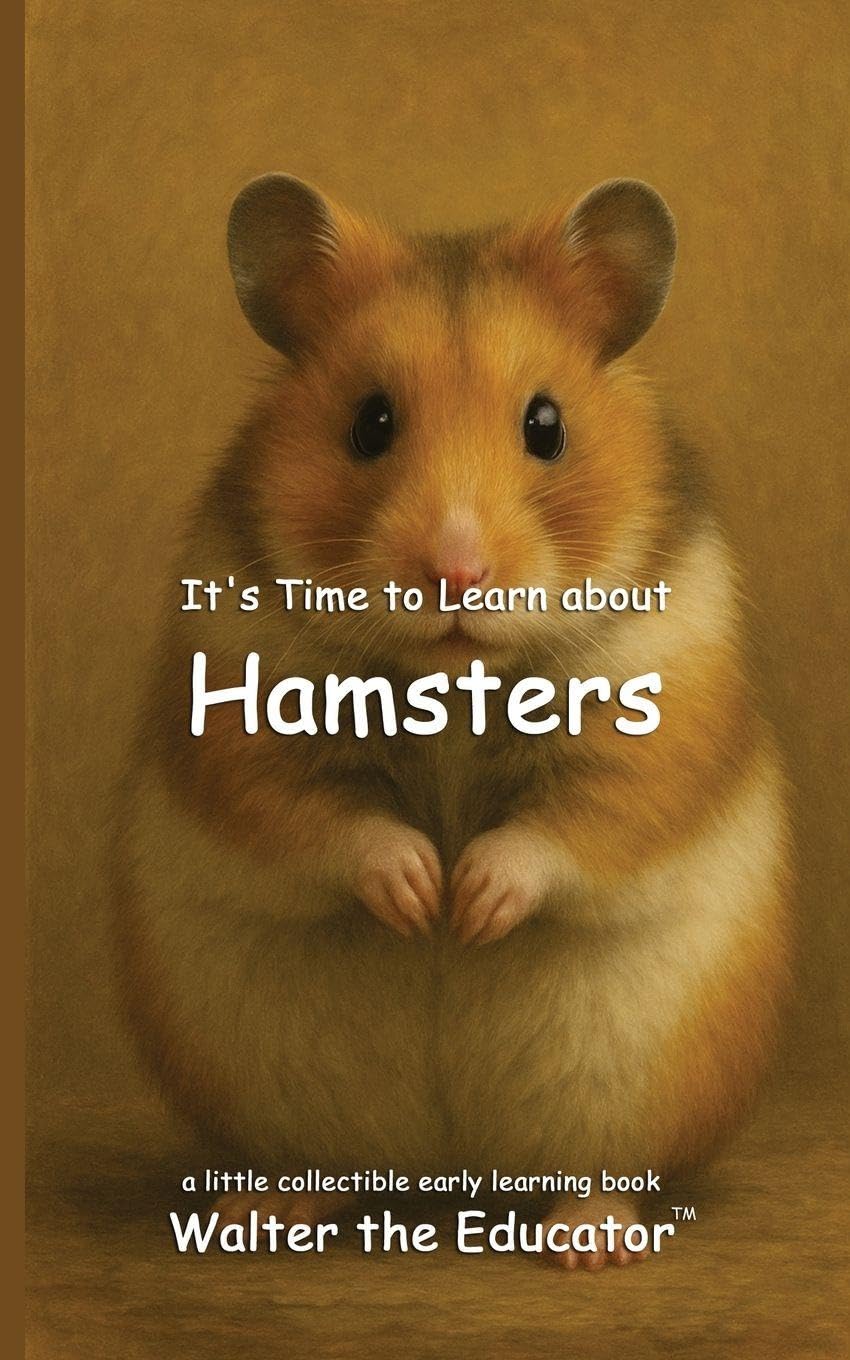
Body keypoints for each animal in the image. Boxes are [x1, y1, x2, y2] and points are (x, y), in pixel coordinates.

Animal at [114, 175, 791, 1270]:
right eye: (371, 421)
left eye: (547, 425)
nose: (456, 573)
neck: (453, 681)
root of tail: (448, 1173)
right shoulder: (241, 722)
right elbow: (322, 818)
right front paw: (418, 897)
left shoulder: (659, 719)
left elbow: (568, 828)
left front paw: (466, 907)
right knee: (320, 1171)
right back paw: (257, 1218)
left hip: (633, 1088)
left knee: (604, 1173)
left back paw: (586, 1240)